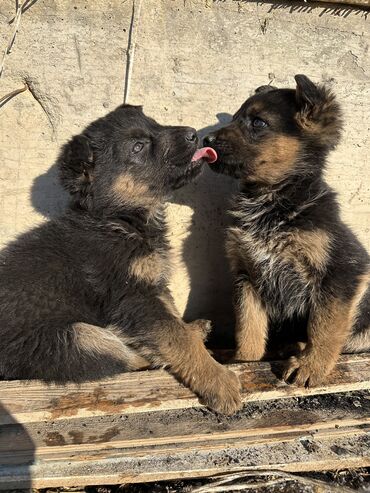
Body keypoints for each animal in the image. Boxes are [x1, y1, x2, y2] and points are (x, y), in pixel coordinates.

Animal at [0, 104, 241, 416]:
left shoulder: (151, 283)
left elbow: (173, 318)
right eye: (138, 147)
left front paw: (191, 331)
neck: (120, 220)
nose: (192, 134)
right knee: (123, 357)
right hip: (73, 339)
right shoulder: (133, 296)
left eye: (155, 124)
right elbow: (176, 337)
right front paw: (219, 381)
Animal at [205, 75, 370, 386]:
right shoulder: (247, 276)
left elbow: (325, 326)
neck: (271, 200)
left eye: (258, 123)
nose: (205, 140)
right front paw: (243, 361)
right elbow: (248, 327)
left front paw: (311, 366)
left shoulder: (342, 270)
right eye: (234, 118)